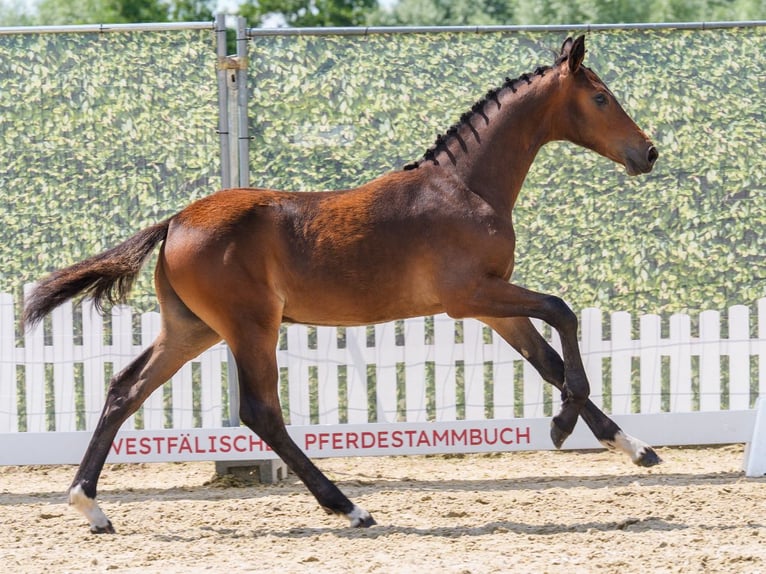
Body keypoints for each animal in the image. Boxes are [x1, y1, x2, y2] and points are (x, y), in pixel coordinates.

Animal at [24, 35, 659, 534]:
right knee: (260, 412)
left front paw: (633, 447)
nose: (648, 152)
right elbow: (563, 312)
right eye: (601, 97)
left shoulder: (492, 305)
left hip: (192, 328)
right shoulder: (469, 297)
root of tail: (176, 221)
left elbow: (548, 359)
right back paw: (349, 507)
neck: (465, 188)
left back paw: (90, 507)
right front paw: (562, 426)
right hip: (249, 326)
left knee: (124, 390)